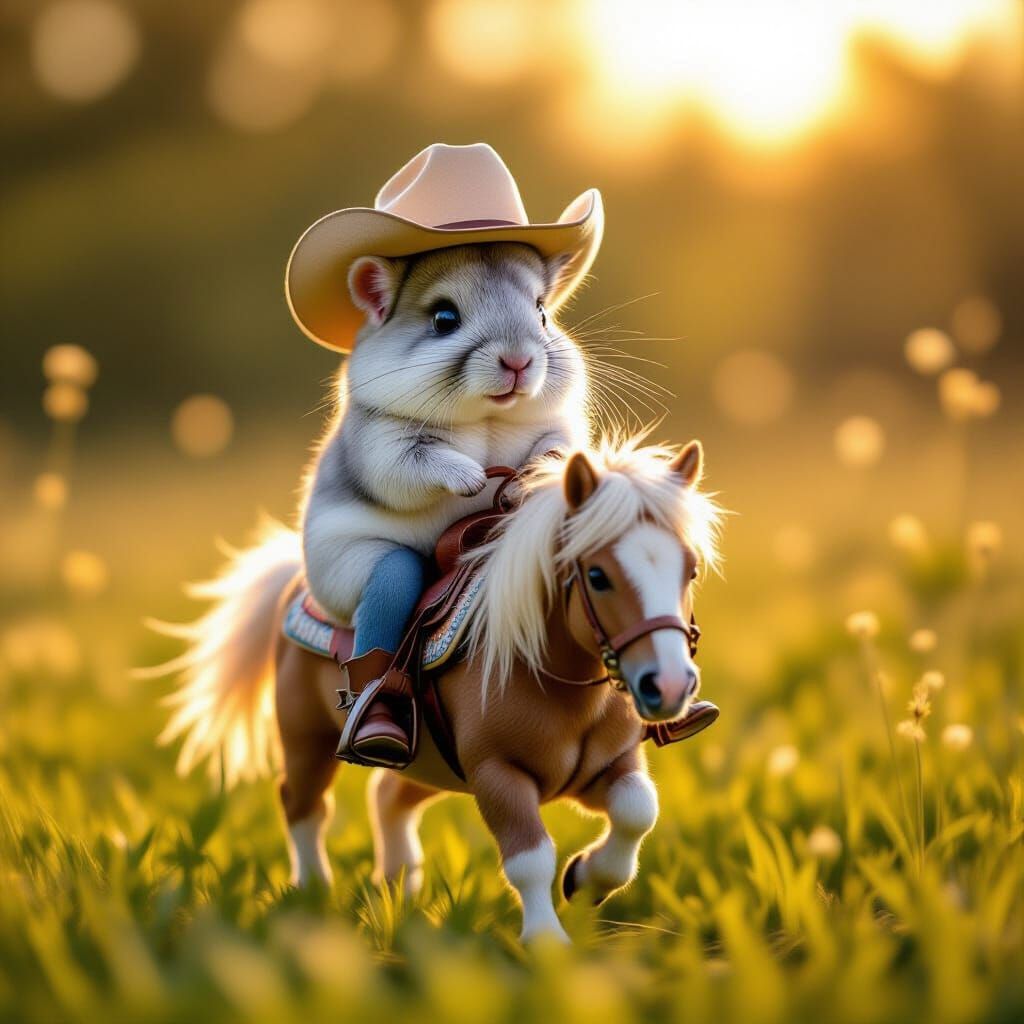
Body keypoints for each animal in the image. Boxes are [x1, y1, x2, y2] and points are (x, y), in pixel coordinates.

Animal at [154, 438, 722, 943]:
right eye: (599, 576)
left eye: (690, 569)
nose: (669, 684)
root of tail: (297, 582)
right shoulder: (497, 775)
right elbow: (531, 859)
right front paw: (546, 943)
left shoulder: (611, 765)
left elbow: (639, 811)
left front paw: (585, 880)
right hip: (307, 740)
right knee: (302, 804)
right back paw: (314, 893)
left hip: (430, 763)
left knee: (388, 796)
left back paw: (397, 888)